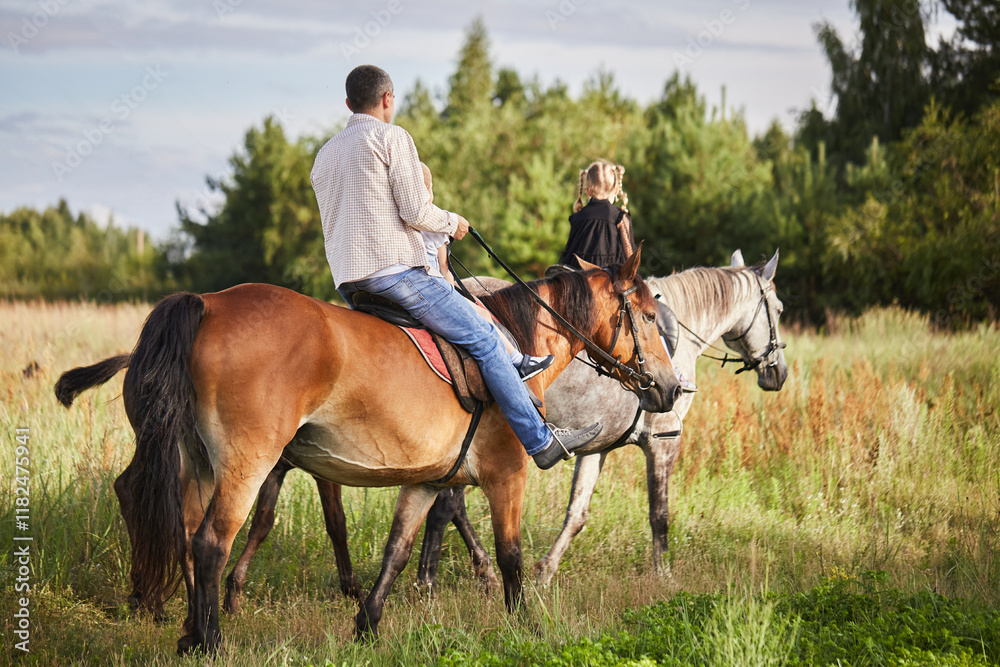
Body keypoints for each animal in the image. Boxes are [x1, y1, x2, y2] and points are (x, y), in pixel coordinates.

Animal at [54, 247, 681, 653]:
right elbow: (510, 556)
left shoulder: (428, 480)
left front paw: (367, 625)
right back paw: (208, 642)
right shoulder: (506, 473)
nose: (671, 388)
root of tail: (206, 303)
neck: (517, 346)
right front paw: (524, 624)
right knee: (211, 542)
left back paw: (188, 630)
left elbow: (396, 551)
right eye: (649, 315)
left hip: (197, 462)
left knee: (184, 533)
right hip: (247, 463)